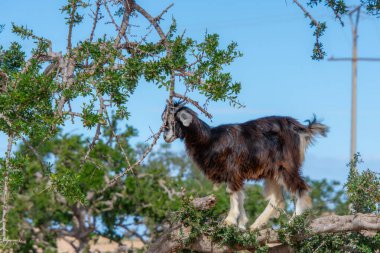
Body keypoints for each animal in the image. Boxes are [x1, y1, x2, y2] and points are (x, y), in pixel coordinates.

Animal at [162, 102, 328, 229]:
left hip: (286, 166)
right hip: (272, 171)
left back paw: (293, 223)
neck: (209, 140)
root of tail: (300, 129)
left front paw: (229, 221)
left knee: (301, 188)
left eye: (172, 121)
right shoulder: (237, 174)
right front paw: (241, 225)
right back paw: (255, 226)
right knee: (278, 199)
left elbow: (232, 193)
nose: (165, 136)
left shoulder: (232, 170)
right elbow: (240, 195)